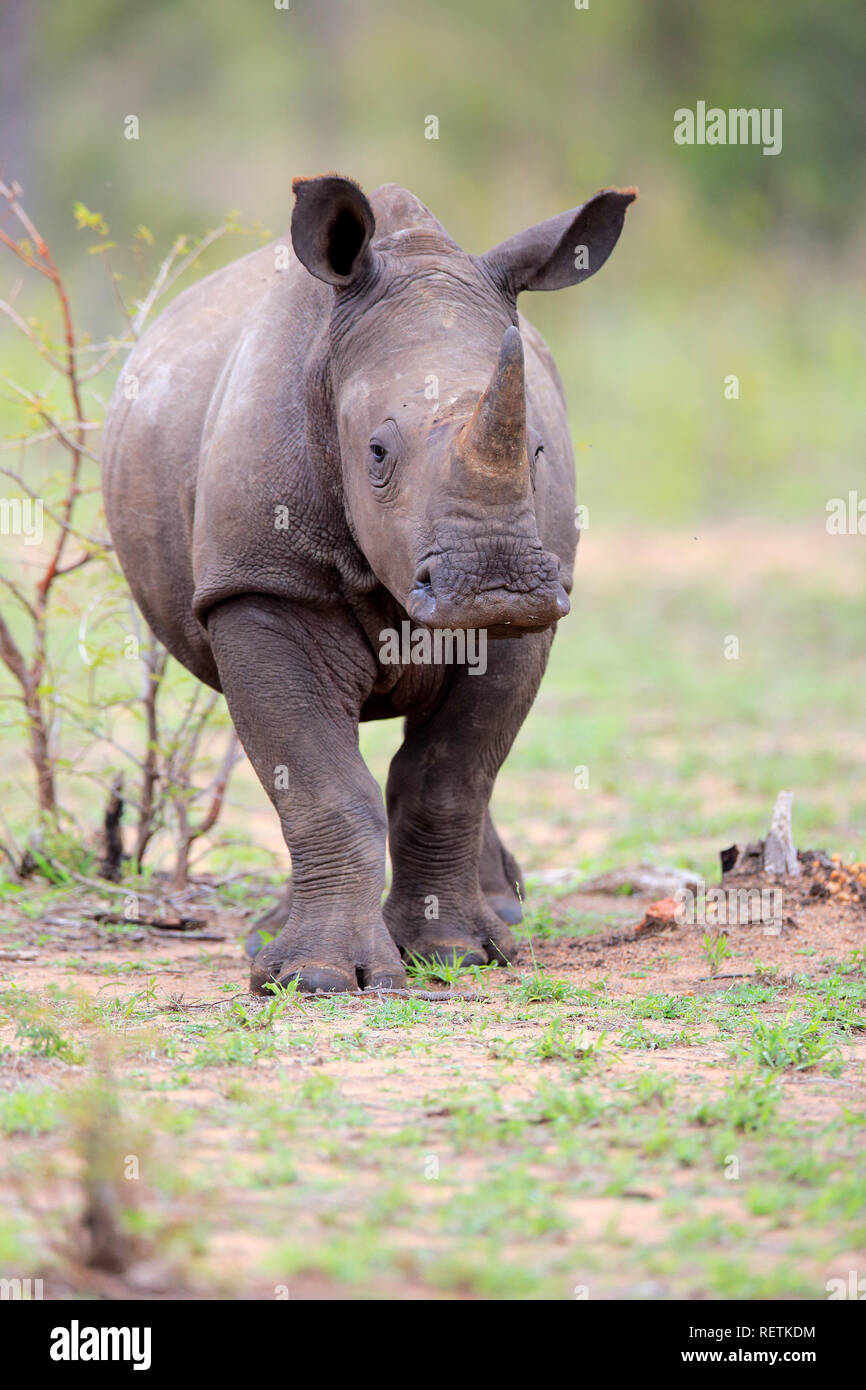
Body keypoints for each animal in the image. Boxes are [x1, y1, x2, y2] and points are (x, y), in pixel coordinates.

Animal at [103, 179, 636, 995]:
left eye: (539, 450)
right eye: (377, 453)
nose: (496, 590)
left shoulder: (537, 618)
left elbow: (451, 774)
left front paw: (457, 953)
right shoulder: (260, 587)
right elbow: (319, 779)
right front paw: (314, 978)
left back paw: (501, 914)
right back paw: (267, 938)